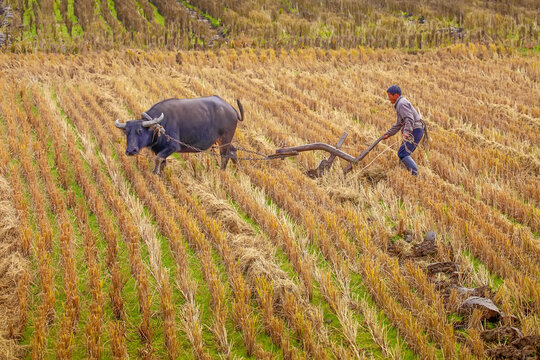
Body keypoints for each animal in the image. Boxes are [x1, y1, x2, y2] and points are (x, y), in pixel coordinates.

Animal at [115, 95, 244, 174]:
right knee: (233, 151)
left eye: (140, 131)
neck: (160, 126)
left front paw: (155, 173)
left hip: (225, 139)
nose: (131, 151)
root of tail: (232, 109)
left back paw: (222, 172)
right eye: (126, 132)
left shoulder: (173, 147)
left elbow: (158, 159)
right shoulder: (160, 149)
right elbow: (162, 161)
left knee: (225, 156)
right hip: (222, 140)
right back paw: (238, 170)